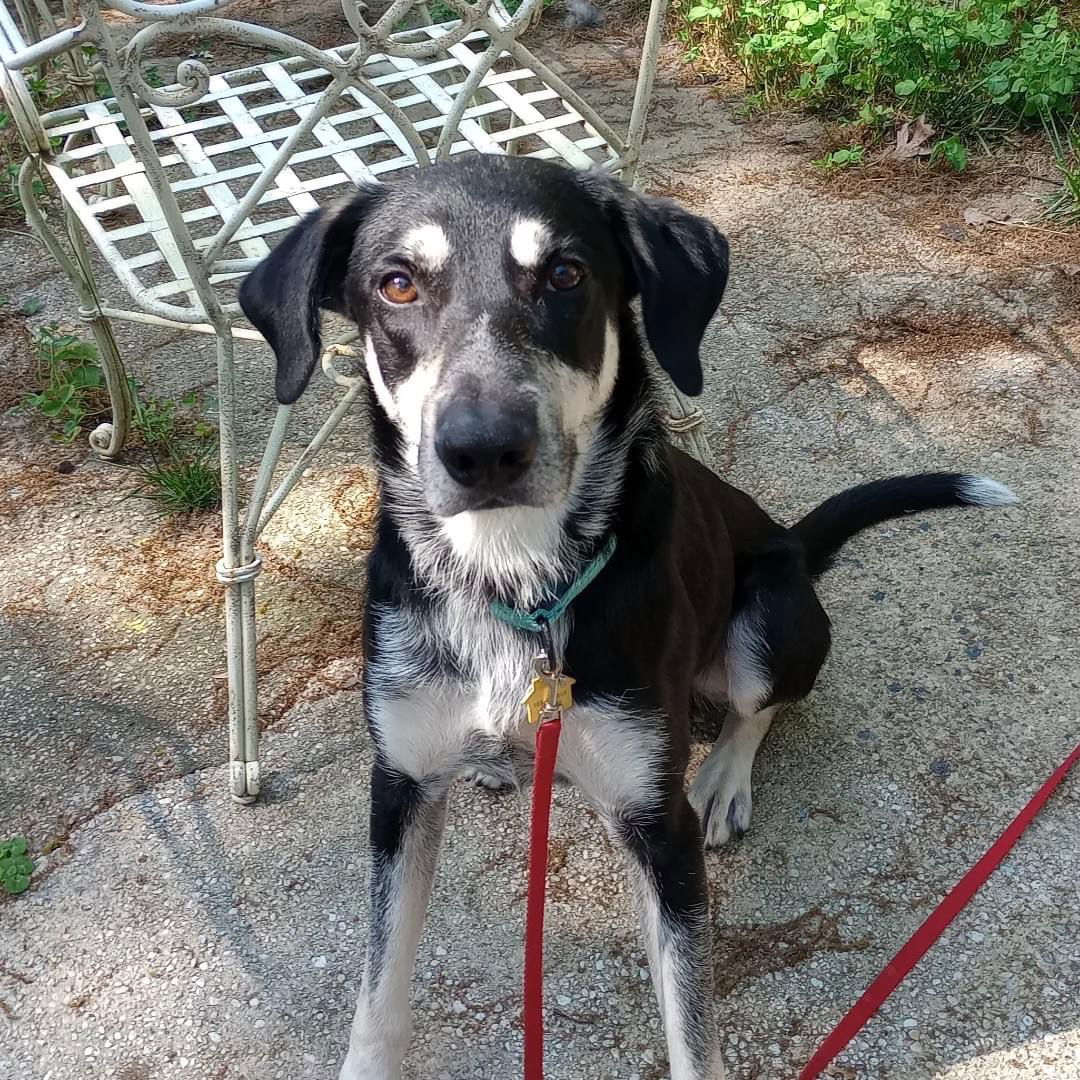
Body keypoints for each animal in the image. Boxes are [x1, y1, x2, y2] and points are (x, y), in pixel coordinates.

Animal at [238, 154, 1019, 1080]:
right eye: (397, 284)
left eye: (566, 275)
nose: (483, 450)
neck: (516, 577)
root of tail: (795, 543)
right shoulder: (398, 787)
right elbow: (378, 991)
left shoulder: (657, 828)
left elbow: (692, 1025)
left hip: (770, 620)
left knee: (756, 708)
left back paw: (722, 778)